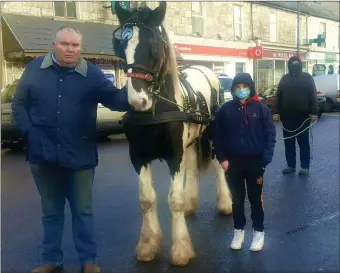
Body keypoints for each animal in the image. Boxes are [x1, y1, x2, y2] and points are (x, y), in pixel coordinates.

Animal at [113, 1, 232, 266]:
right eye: (120, 45)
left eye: (154, 45)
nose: (138, 100)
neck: (156, 109)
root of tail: (207, 70)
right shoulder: (138, 156)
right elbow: (147, 199)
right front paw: (148, 245)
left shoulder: (173, 155)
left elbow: (174, 200)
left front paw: (180, 249)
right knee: (191, 166)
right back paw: (191, 202)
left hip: (211, 138)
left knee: (219, 166)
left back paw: (225, 203)